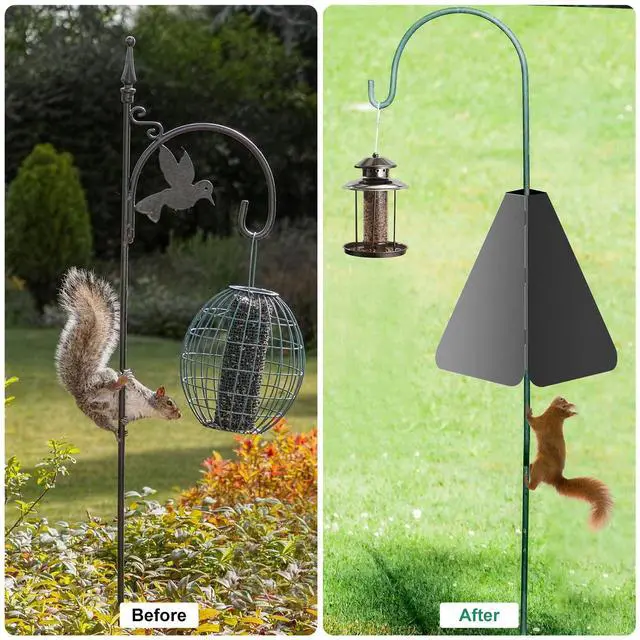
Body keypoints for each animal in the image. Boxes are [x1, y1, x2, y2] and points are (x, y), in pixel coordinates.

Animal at [55, 267, 181, 439]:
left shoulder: (134, 414)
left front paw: (124, 423)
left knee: (106, 424)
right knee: (108, 385)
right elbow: (132, 383)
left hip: (96, 414)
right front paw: (127, 378)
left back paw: (117, 431)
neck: (148, 406)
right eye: (169, 402)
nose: (179, 414)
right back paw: (118, 382)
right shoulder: (137, 389)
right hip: (98, 383)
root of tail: (79, 393)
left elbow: (126, 418)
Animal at [526, 396, 612, 530]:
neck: (556, 416)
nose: (560, 396)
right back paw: (529, 467)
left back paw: (526, 481)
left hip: (540, 466)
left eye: (562, 401)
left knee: (533, 487)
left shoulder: (542, 423)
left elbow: (533, 422)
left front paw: (528, 412)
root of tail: (556, 478)